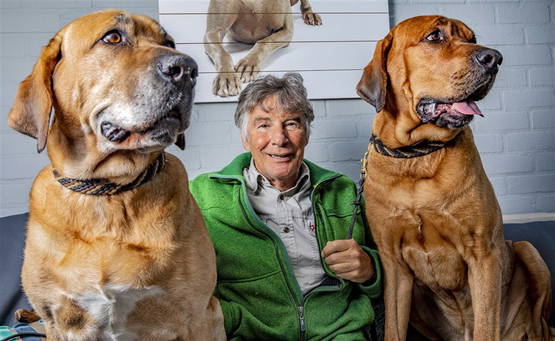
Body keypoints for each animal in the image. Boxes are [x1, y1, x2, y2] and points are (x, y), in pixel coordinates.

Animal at [8, 9, 226, 338]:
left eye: (169, 42)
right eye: (113, 37)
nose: (188, 69)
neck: (110, 192)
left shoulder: (197, 314)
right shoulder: (58, 320)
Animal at [358, 15, 552, 340]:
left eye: (472, 38)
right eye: (434, 37)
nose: (494, 58)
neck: (418, 156)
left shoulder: (483, 254)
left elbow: (486, 325)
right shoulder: (393, 264)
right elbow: (393, 329)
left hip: (528, 252)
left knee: (541, 327)